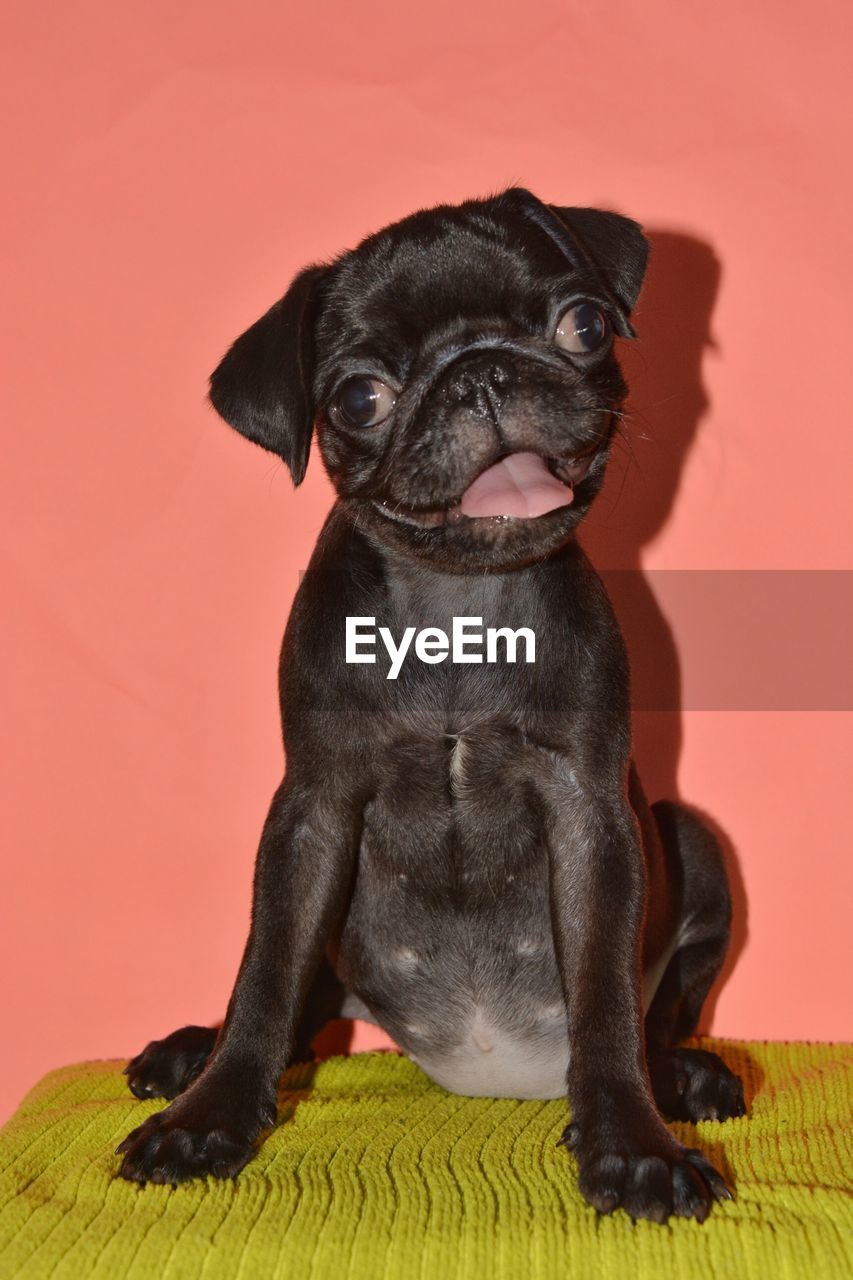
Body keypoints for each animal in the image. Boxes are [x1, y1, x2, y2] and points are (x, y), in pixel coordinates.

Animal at [116, 186, 742, 1218]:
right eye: (359, 397)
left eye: (582, 324)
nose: (479, 371)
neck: (456, 609)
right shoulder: (312, 812)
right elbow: (267, 971)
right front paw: (207, 1117)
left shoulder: (591, 815)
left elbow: (607, 996)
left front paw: (633, 1143)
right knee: (302, 998)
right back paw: (190, 1053)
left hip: (689, 835)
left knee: (662, 1010)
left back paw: (685, 1075)